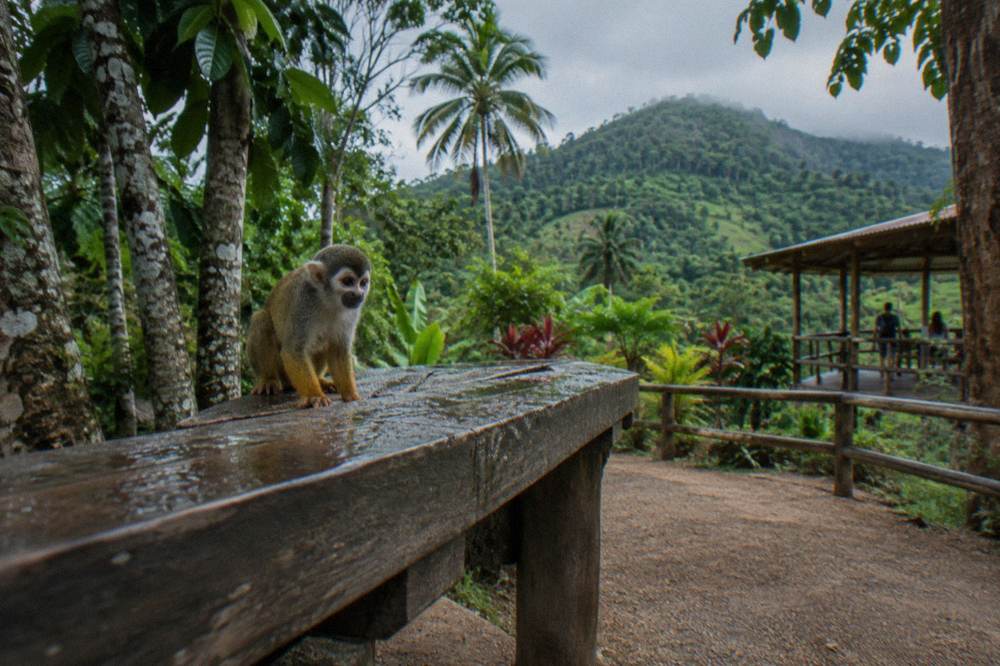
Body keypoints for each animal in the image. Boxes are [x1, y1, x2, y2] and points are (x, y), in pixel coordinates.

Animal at [247, 244, 371, 408]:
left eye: (363, 282)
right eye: (348, 281)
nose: (359, 294)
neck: (328, 300)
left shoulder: (353, 312)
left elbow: (338, 349)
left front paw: (350, 394)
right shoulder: (304, 302)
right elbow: (293, 351)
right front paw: (314, 396)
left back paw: (320, 380)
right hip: (284, 372)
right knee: (262, 320)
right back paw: (268, 379)